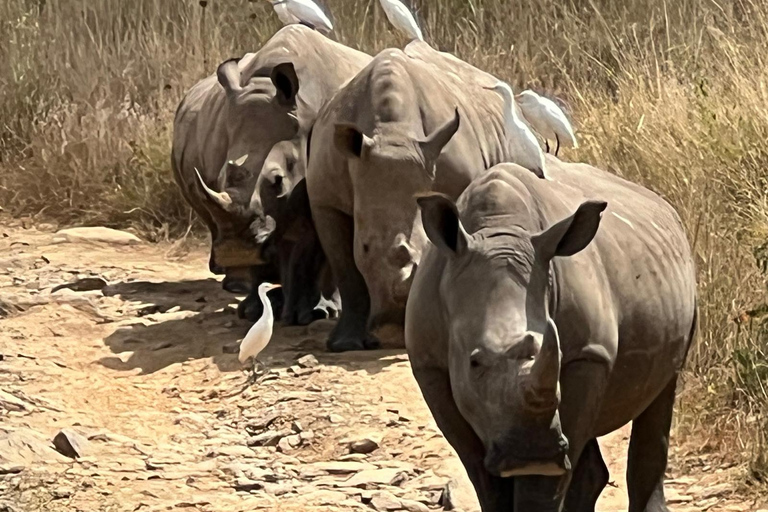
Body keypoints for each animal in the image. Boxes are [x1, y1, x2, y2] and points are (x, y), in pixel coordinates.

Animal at [304, 42, 516, 352]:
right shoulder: (324, 199)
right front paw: (345, 345)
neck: (394, 131)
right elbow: (345, 268)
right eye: (364, 248)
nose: (393, 330)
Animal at [404, 161, 700, 512]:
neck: (500, 230)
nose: (533, 455)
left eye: (556, 354)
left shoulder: (587, 355)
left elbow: (544, 484)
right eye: (474, 363)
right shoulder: (429, 366)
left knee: (662, 391)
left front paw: (538, 475)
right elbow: (482, 474)